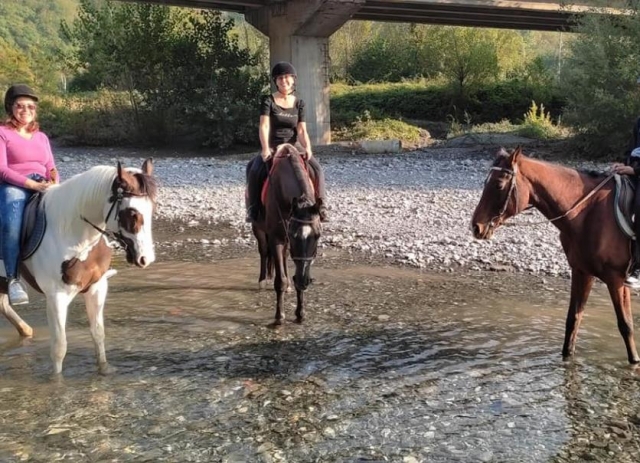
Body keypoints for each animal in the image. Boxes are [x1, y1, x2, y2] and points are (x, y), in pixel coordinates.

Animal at [0, 160, 156, 376]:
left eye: (151, 209)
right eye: (132, 213)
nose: (145, 258)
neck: (72, 233)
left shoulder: (97, 288)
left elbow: (98, 334)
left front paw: (104, 370)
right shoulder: (56, 297)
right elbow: (59, 347)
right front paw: (56, 381)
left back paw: (26, 330)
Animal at [264, 143, 322, 324]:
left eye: (317, 236)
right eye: (294, 235)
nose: (304, 281)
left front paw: (300, 313)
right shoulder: (276, 238)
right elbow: (279, 280)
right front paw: (279, 316)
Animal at [470, 147, 640, 364]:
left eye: (499, 184)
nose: (476, 227)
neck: (587, 212)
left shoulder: (616, 279)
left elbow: (625, 325)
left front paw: (634, 362)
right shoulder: (582, 272)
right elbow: (573, 320)